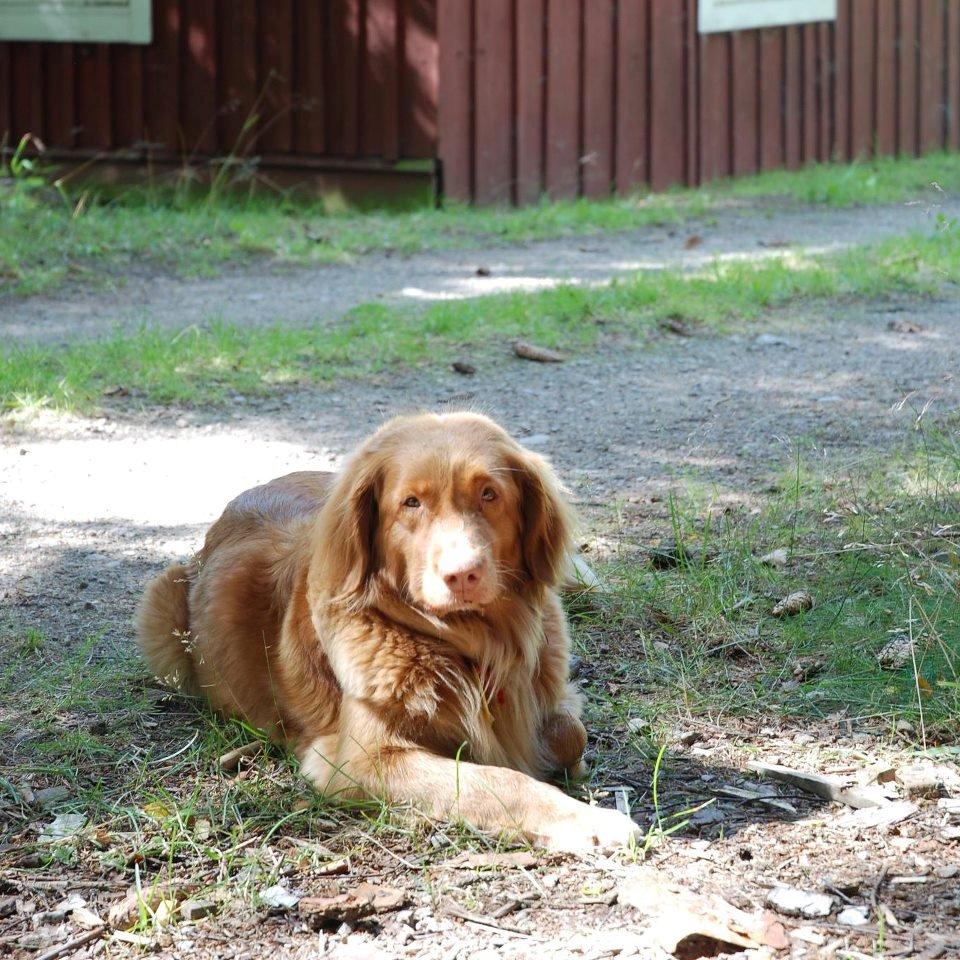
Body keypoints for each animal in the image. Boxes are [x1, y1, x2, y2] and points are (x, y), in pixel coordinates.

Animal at [135, 412, 640, 856]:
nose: (463, 574)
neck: (470, 643)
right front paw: (587, 820)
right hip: (161, 606)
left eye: (490, 494)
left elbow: (569, 731)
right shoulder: (356, 759)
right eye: (411, 503)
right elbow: (495, 779)